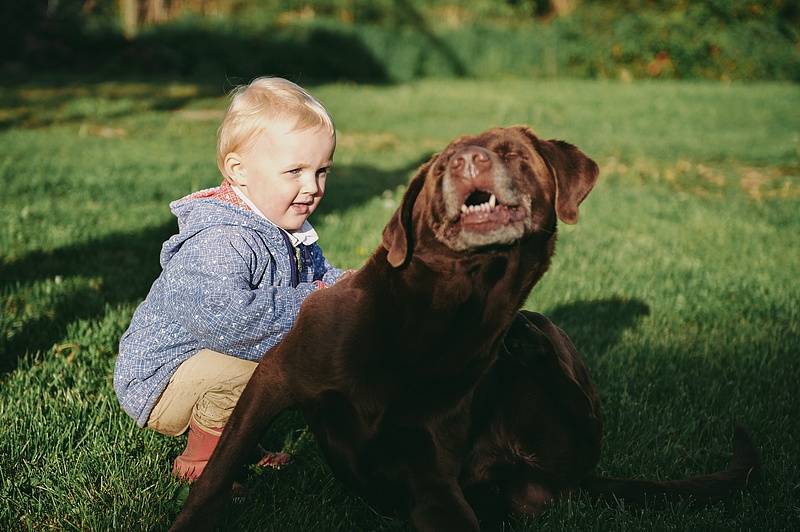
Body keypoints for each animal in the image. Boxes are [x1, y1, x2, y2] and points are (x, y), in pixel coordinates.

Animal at [172, 127, 760, 528]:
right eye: (437, 172)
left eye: (512, 154)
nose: (468, 160)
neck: (441, 316)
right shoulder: (275, 378)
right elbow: (217, 476)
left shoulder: (431, 472)